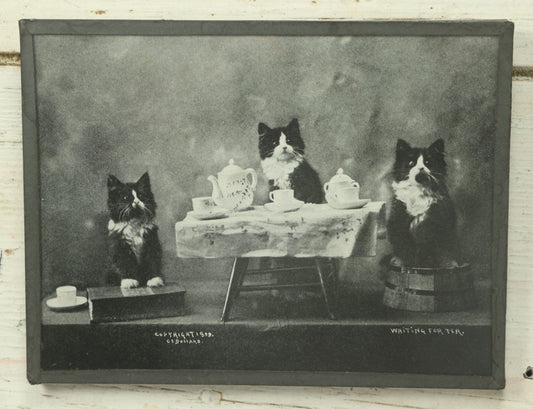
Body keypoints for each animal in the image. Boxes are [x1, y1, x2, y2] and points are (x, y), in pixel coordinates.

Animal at [384, 139, 460, 268]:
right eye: (411, 163)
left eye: (428, 162)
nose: (421, 168)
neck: (419, 189)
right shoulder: (399, 220)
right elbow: (403, 247)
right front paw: (403, 263)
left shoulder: (441, 221)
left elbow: (442, 249)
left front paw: (445, 264)